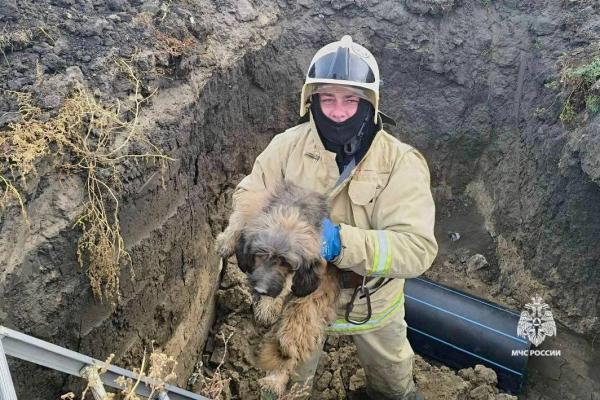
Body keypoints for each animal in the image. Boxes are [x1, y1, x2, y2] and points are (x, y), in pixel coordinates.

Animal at [216, 183, 340, 396]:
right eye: (260, 254)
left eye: (286, 263)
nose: (261, 289)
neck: (292, 210)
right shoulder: (256, 204)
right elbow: (241, 217)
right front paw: (226, 241)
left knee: (291, 339)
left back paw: (275, 378)